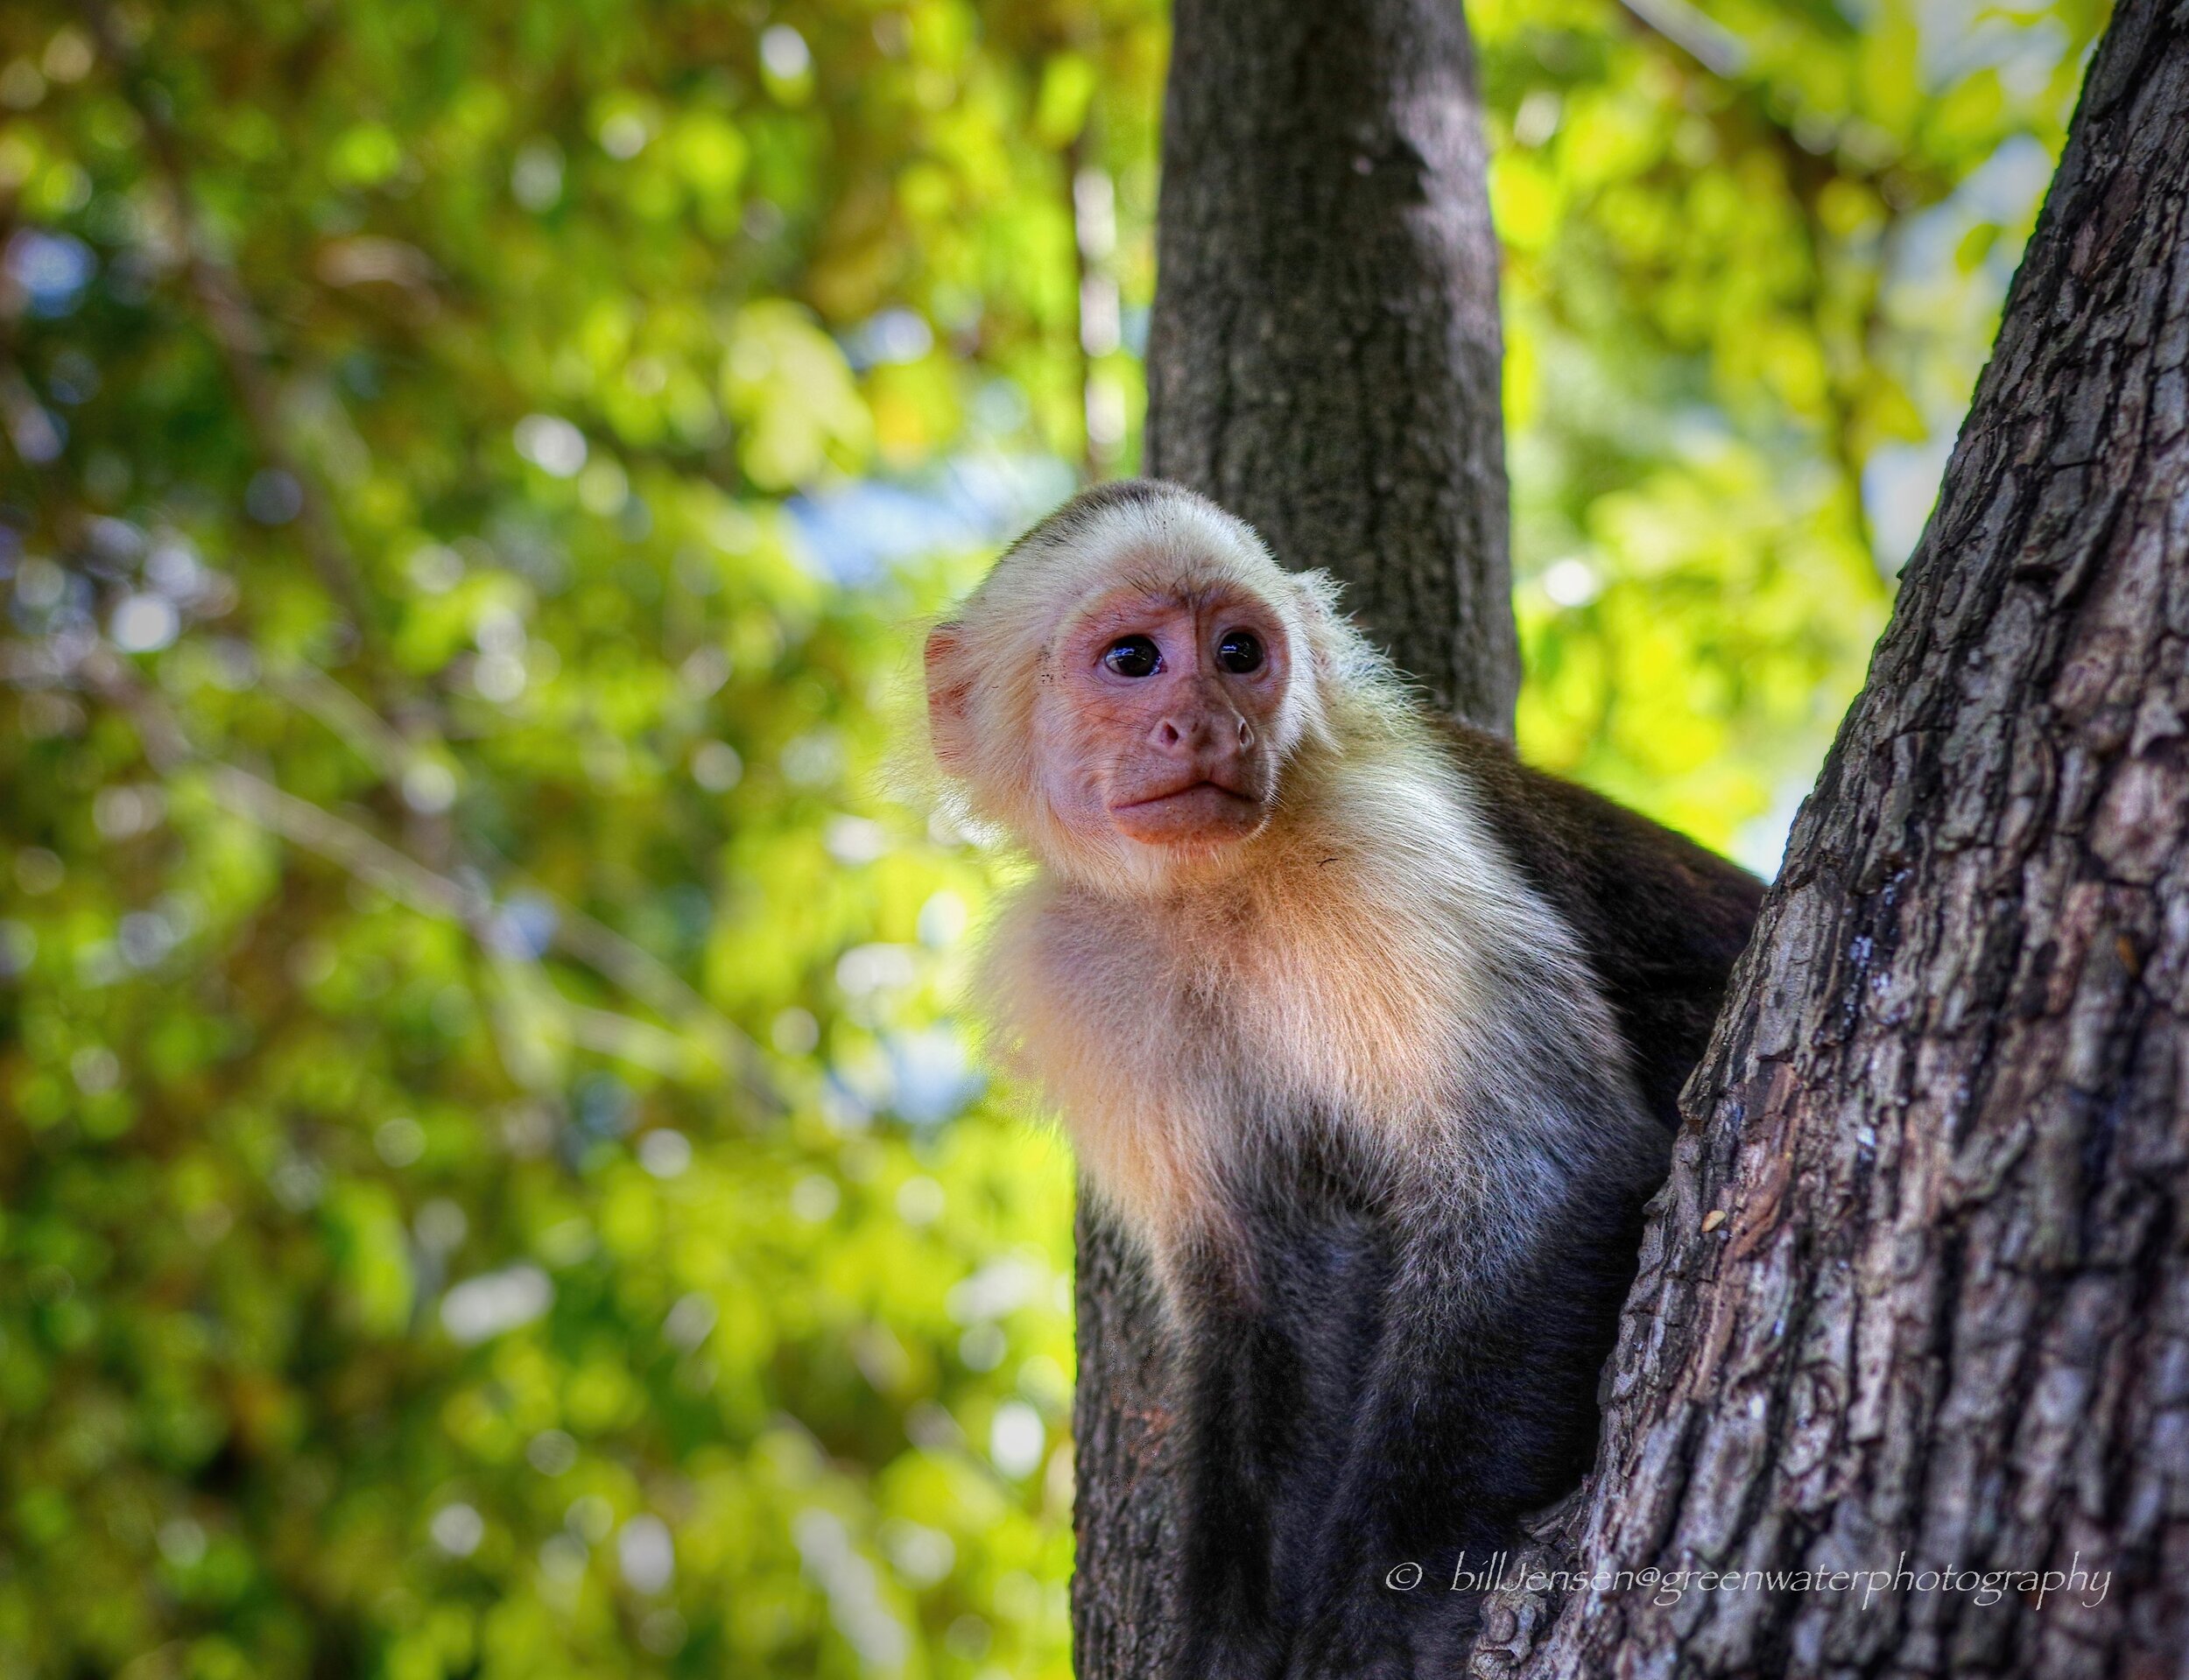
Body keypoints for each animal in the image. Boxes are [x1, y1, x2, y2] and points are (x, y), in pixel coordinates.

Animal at [924, 479, 1760, 1671]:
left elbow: (1547, 1168)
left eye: (1238, 652)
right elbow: (1277, 1280)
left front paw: (1383, 1606)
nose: (1207, 725)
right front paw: (1232, 1640)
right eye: (1133, 659)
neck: (1205, 893)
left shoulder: (1378, 851)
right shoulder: (1076, 975)